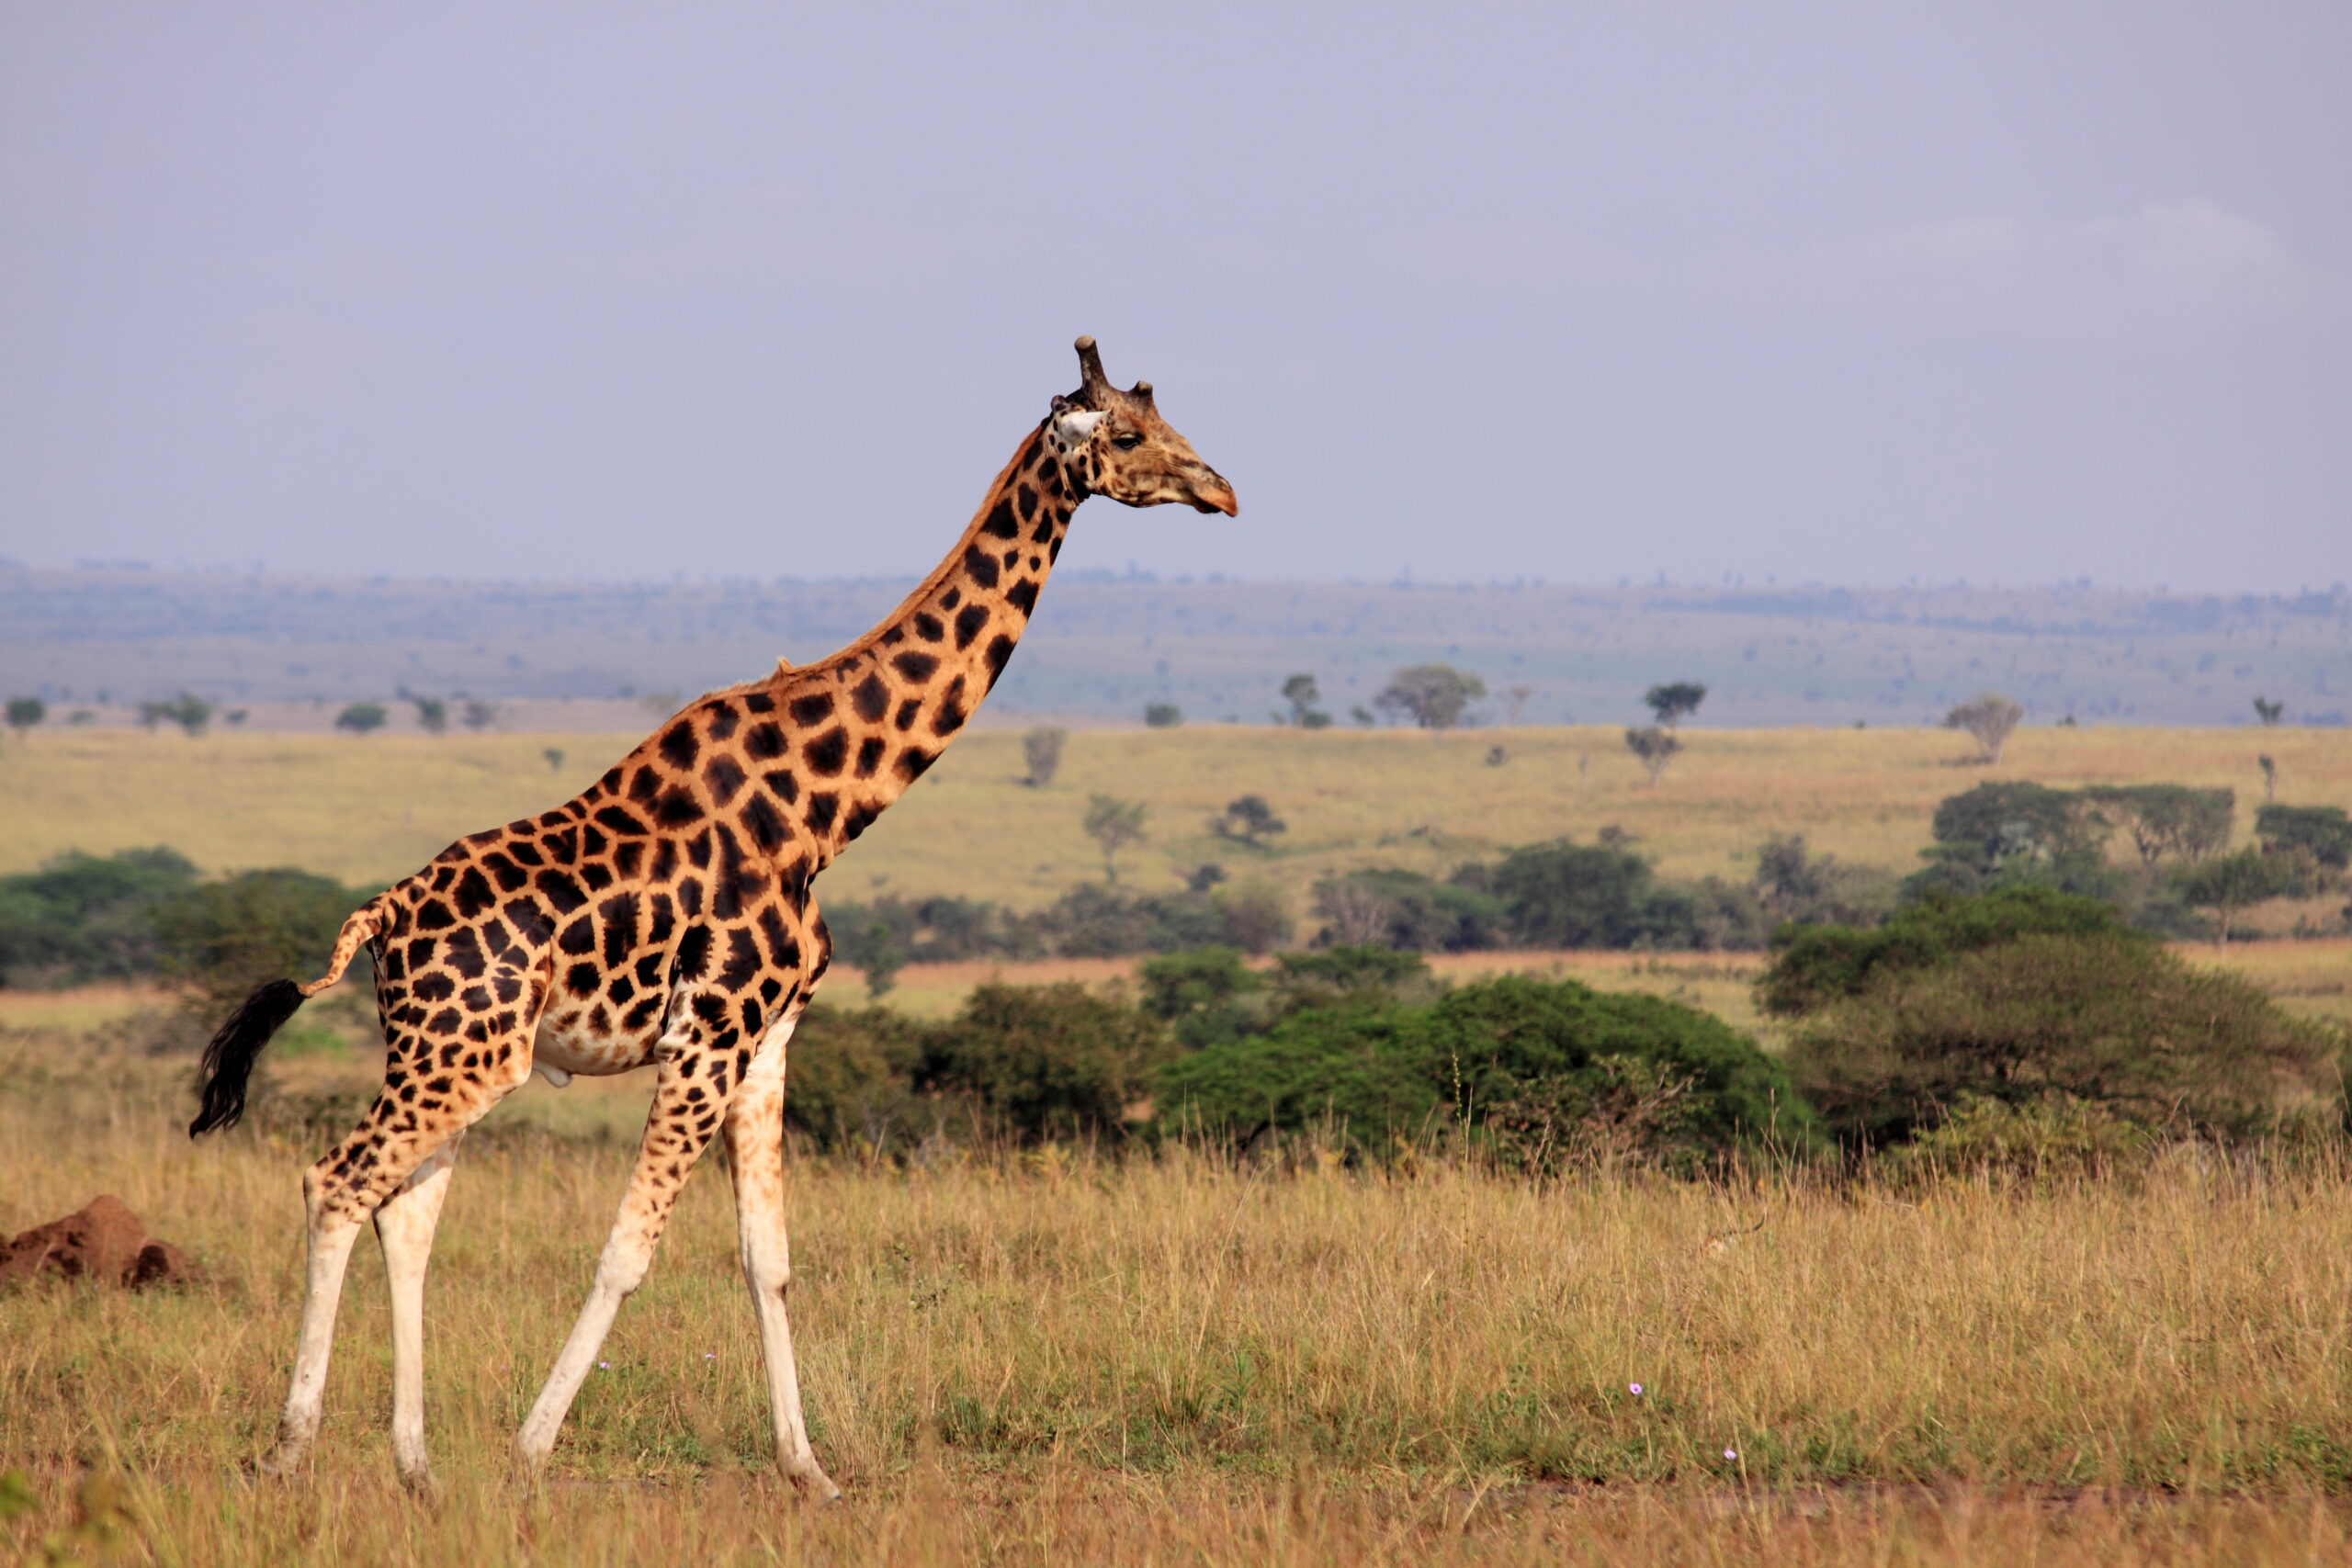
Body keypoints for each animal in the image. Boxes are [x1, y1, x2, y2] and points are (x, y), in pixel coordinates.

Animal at [187, 341, 1232, 1495]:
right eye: (1129, 436)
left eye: (1168, 423)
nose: (1220, 492)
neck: (827, 807)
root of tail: (380, 920)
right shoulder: (708, 1032)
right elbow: (628, 1249)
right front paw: (532, 1448)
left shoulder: (768, 1036)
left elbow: (765, 1260)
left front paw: (809, 1471)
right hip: (459, 1056)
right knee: (336, 1183)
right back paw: (290, 1450)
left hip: (455, 1056)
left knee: (404, 1213)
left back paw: (415, 1465)